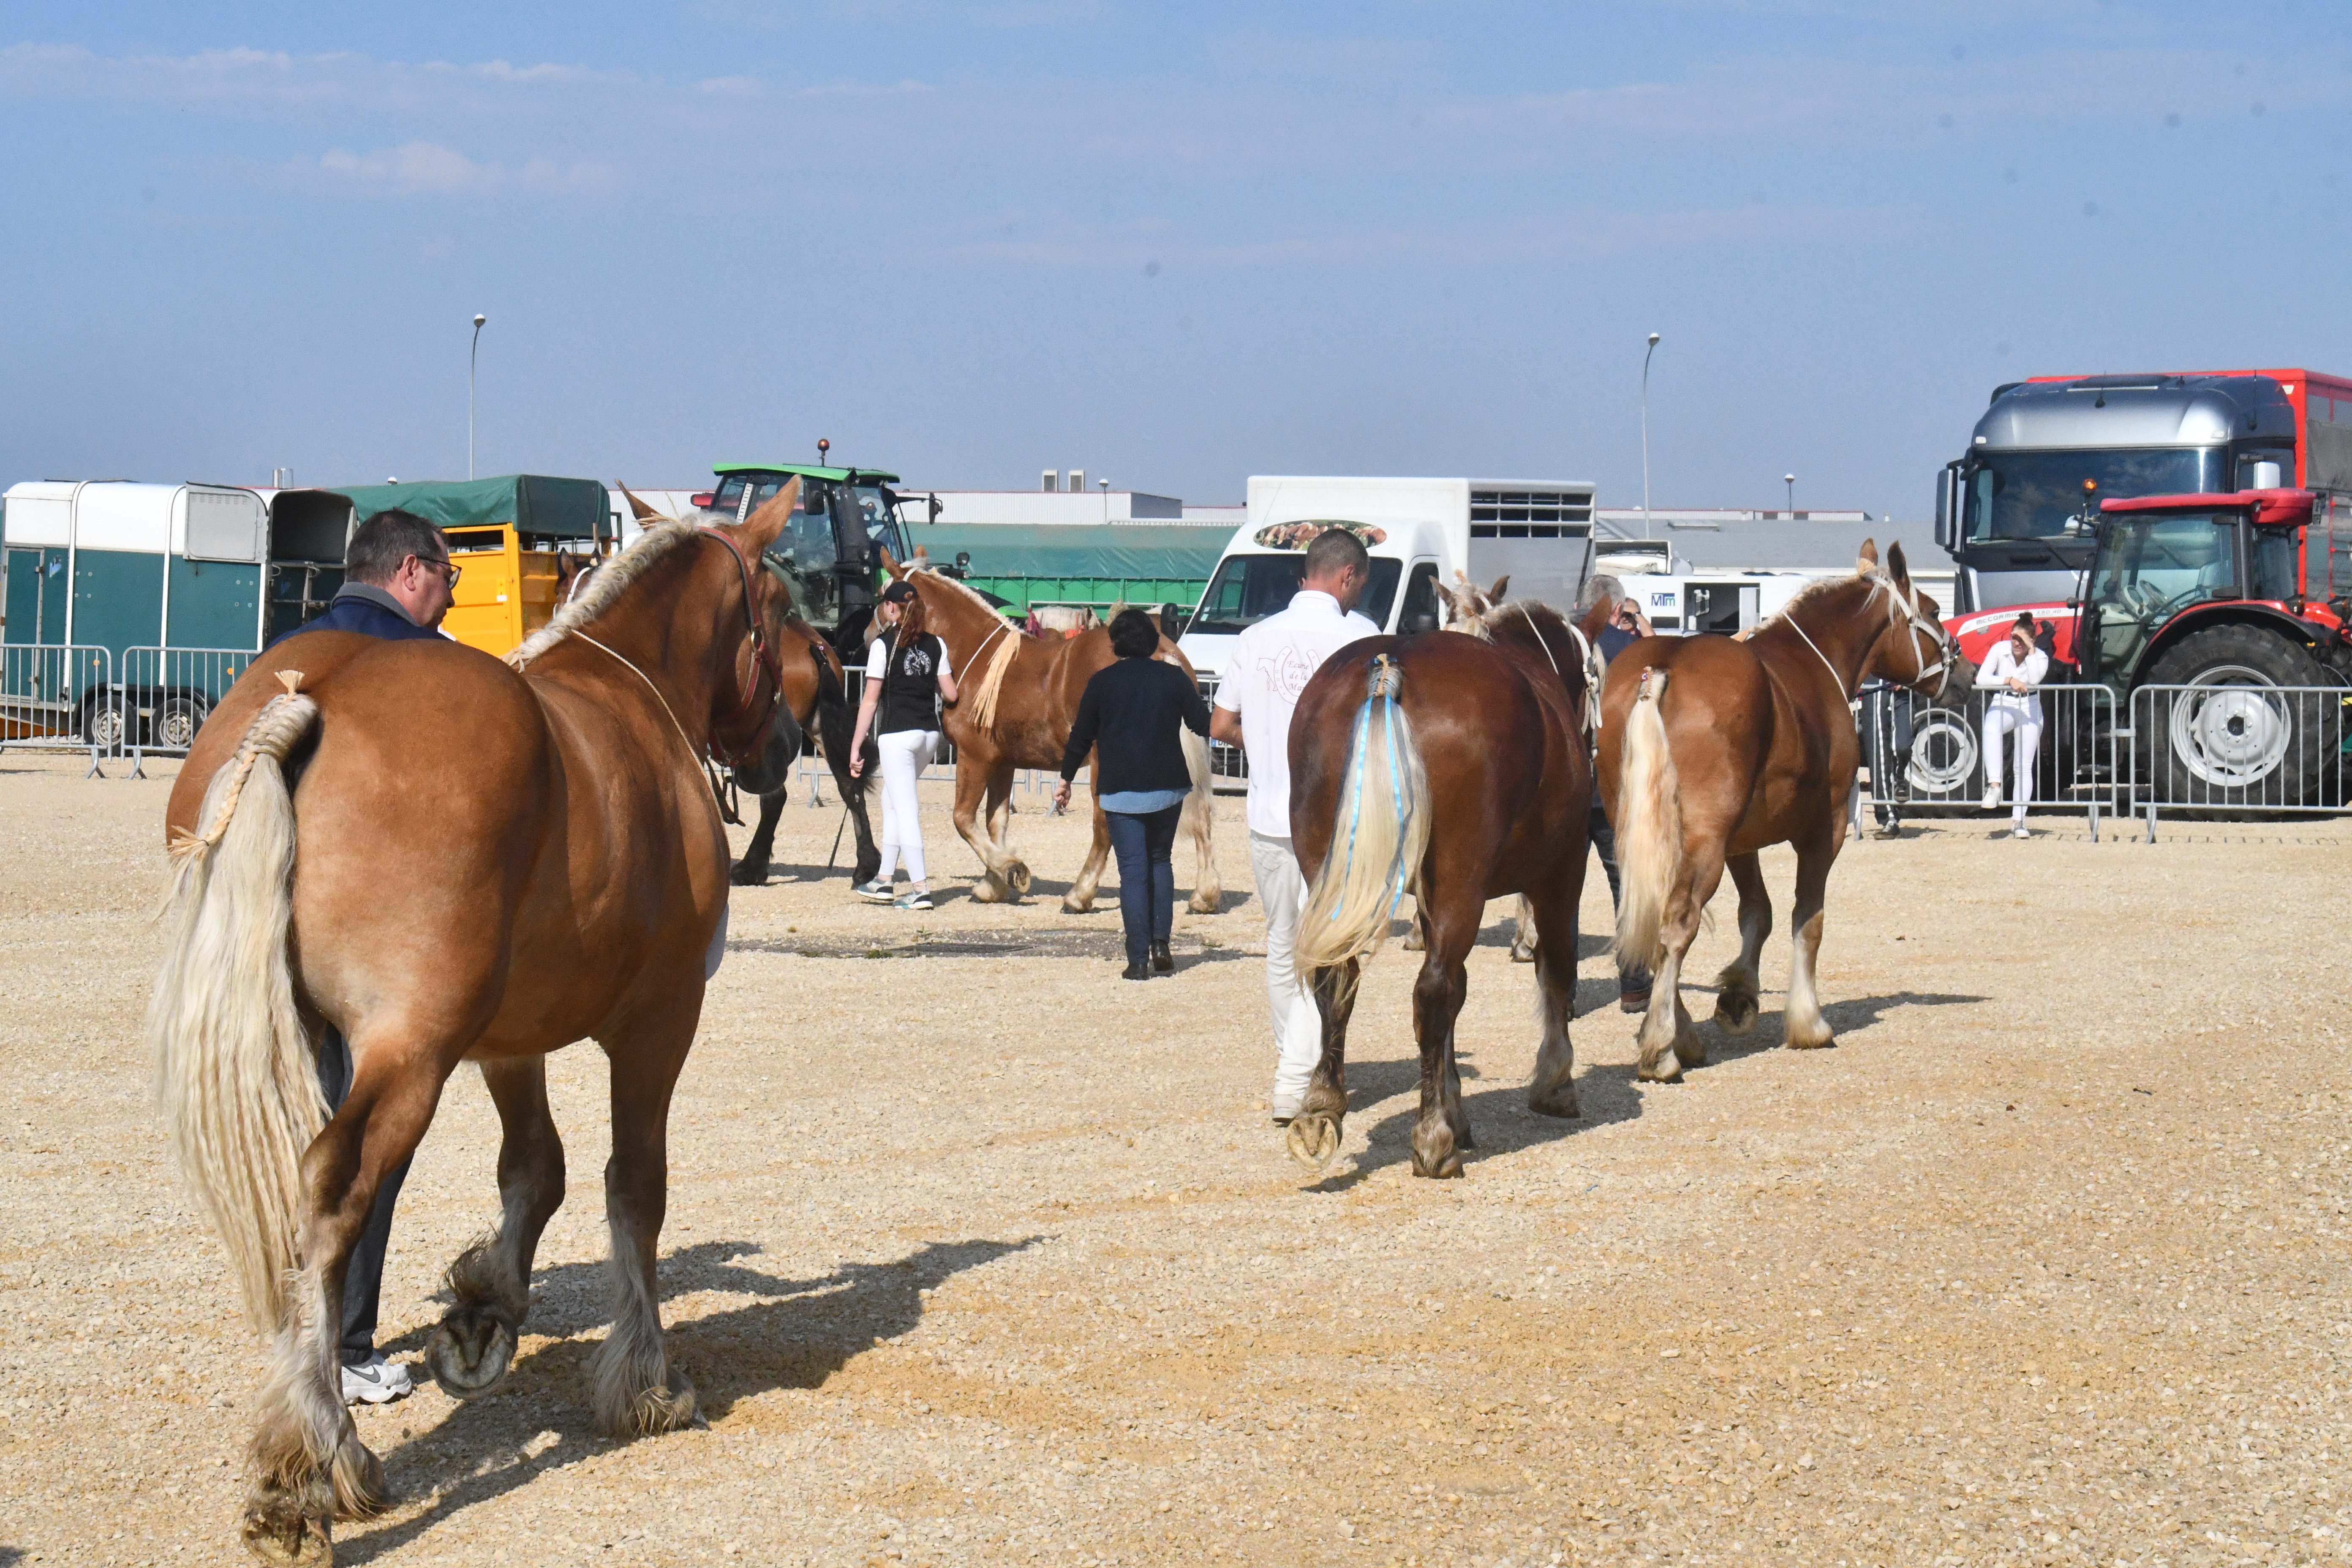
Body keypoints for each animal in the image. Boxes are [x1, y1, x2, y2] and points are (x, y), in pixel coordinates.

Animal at [150, 489, 822, 1564]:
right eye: (782, 603)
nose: (789, 743)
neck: (625, 699)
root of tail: (308, 698)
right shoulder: (660, 1019)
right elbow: (634, 1187)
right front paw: (643, 1380)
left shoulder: (510, 1038)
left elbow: (535, 1170)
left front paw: (484, 1307)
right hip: (411, 1053)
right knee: (331, 1187)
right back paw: (309, 1465)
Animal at [881, 553, 1223, 913]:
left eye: (883, 596)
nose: (868, 637)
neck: (980, 659)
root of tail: (1158, 654)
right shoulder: (1003, 763)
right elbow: (995, 822)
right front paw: (994, 883)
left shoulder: (974, 757)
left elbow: (963, 820)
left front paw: (1010, 869)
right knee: (1201, 816)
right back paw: (1204, 894)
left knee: (1104, 827)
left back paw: (1079, 894)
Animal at [1282, 596, 1613, 1179]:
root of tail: (1390, 669)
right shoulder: (1561, 873)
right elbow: (1554, 970)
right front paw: (1554, 1082)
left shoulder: (1432, 901)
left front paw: (1454, 1103)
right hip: (1466, 877)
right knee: (1435, 988)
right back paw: (1432, 1137)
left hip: (1327, 868)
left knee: (1337, 977)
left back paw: (1323, 1105)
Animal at [1597, 540, 1971, 1081]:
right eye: (1935, 611)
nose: (1967, 673)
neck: (1812, 664)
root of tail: (1660, 671)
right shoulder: (1824, 830)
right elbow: (1807, 920)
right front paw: (1808, 1022)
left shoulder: (1742, 842)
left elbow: (1758, 913)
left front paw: (1739, 995)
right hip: (1704, 843)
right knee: (1677, 925)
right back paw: (1662, 1048)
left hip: (1644, 835)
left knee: (1650, 922)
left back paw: (1680, 1033)